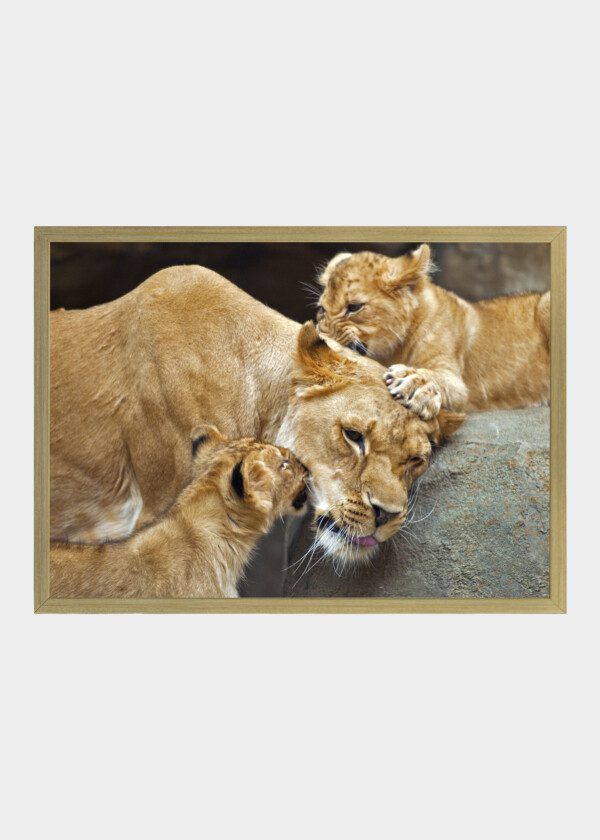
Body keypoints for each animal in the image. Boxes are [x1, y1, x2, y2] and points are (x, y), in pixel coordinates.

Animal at [315, 246, 550, 419]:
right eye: (322, 310)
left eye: (354, 307)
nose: (321, 337)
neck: (392, 351)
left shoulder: (456, 382)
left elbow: (440, 380)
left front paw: (414, 384)